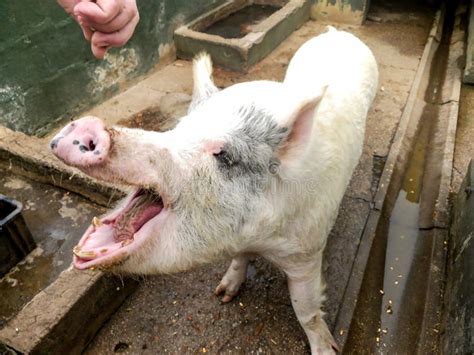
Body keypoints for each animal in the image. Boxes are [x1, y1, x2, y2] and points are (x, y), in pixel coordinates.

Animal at [51, 26, 378, 354]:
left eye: (223, 155)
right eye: (178, 127)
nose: (87, 127)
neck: (259, 239)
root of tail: (337, 32)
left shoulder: (306, 251)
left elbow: (305, 308)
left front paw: (327, 349)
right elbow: (239, 260)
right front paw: (222, 294)